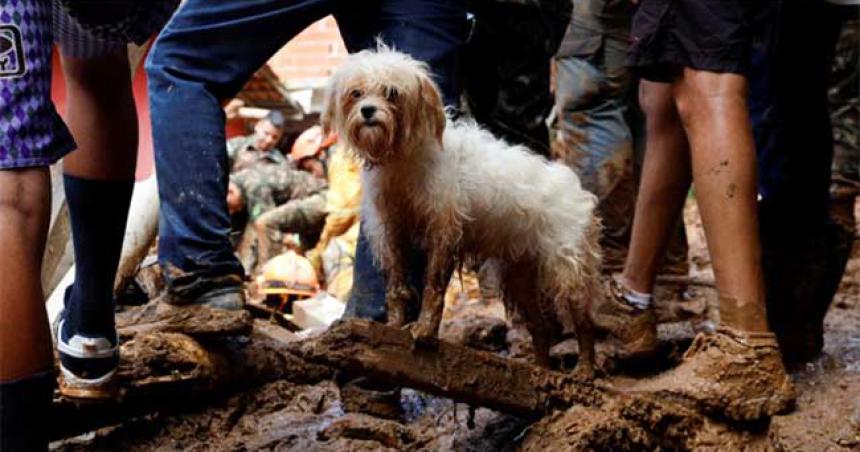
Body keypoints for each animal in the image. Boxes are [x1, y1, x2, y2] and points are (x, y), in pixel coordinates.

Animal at [320, 46, 596, 378]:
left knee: (583, 323)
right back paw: (539, 370)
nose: (368, 111)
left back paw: (585, 369)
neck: (403, 158)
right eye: (356, 93)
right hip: (519, 278)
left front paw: (424, 332)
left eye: (391, 93)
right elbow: (396, 288)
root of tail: (575, 189)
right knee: (541, 328)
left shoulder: (444, 231)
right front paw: (393, 328)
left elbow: (434, 287)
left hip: (568, 270)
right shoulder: (391, 230)